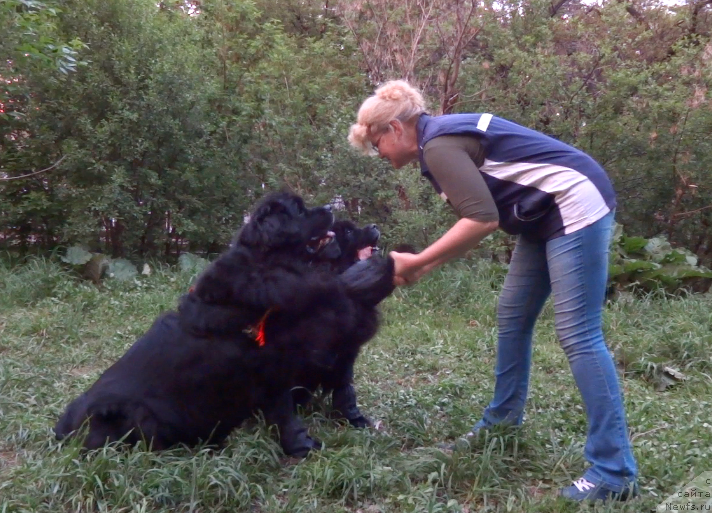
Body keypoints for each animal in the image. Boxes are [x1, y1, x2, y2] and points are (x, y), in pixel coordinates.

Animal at [54, 192, 394, 456]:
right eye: (299, 211)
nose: (328, 207)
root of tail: (64, 429)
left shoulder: (344, 353)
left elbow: (345, 392)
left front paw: (356, 421)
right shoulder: (275, 368)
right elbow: (286, 412)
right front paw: (301, 446)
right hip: (136, 415)